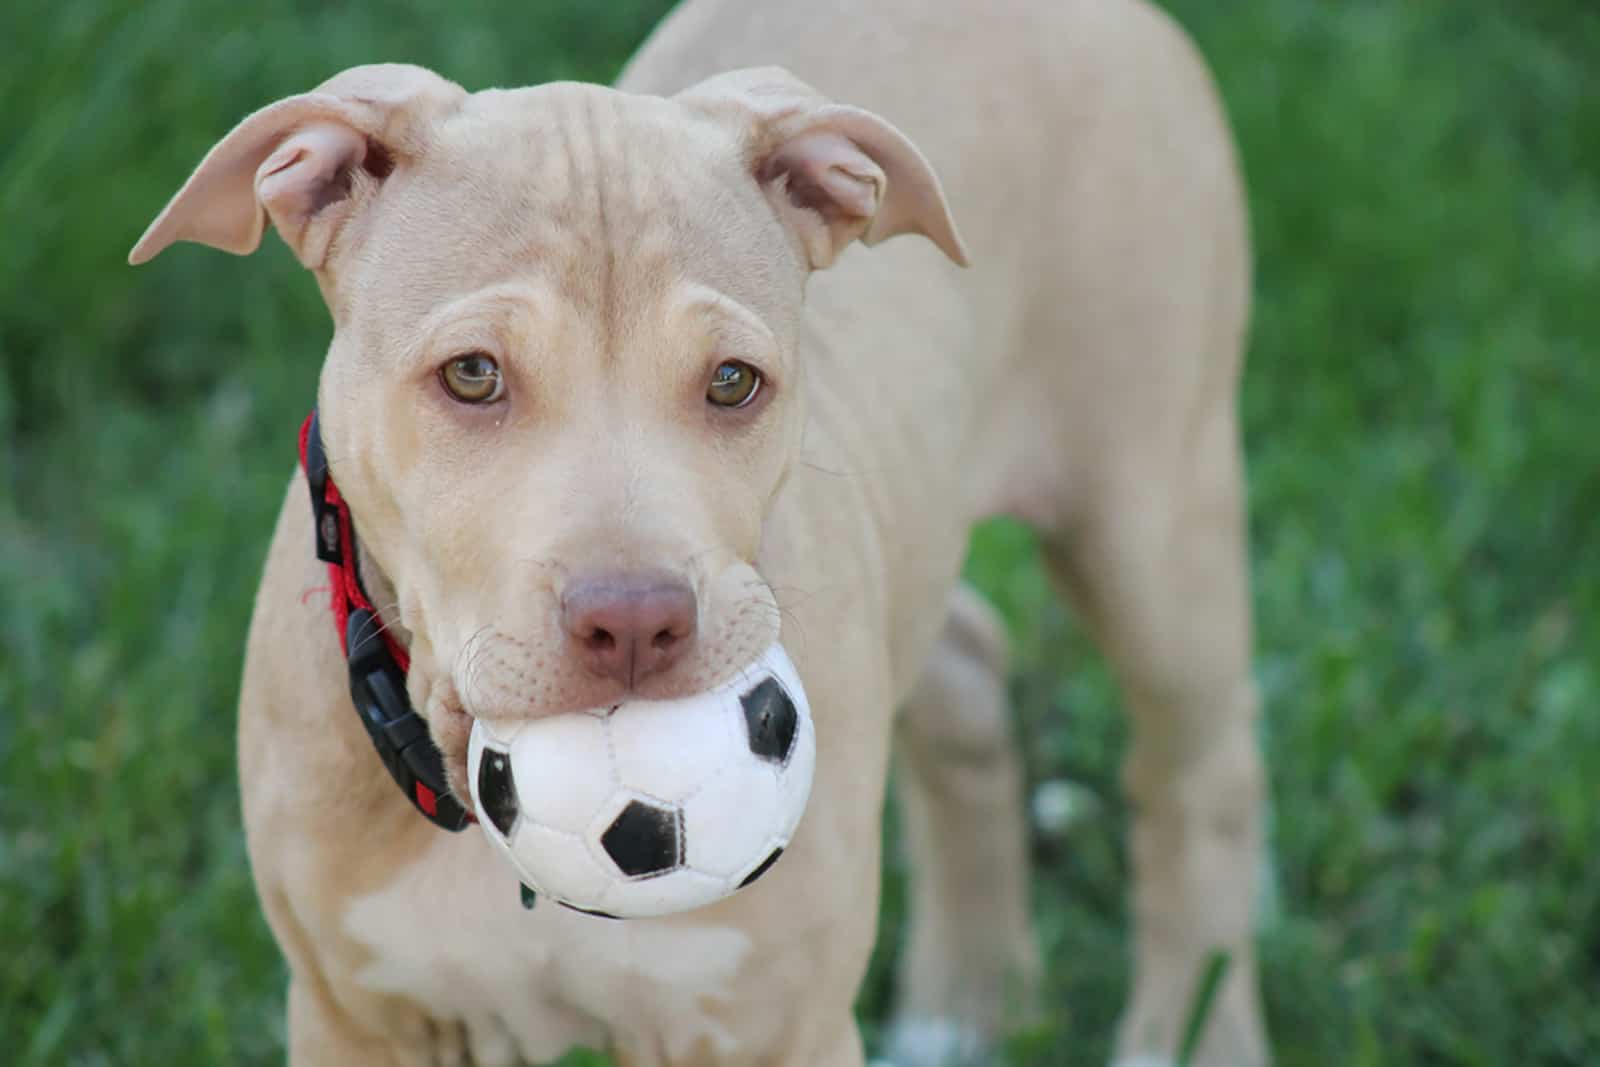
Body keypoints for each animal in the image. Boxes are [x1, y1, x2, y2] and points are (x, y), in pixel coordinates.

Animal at [131, 2, 1267, 1067]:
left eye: (731, 382)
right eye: (472, 374)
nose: (635, 623)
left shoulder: (776, 1026)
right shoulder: (356, 1015)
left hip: (1152, 521)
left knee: (1198, 781)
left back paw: (1188, 1028)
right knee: (972, 659)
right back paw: (964, 1003)